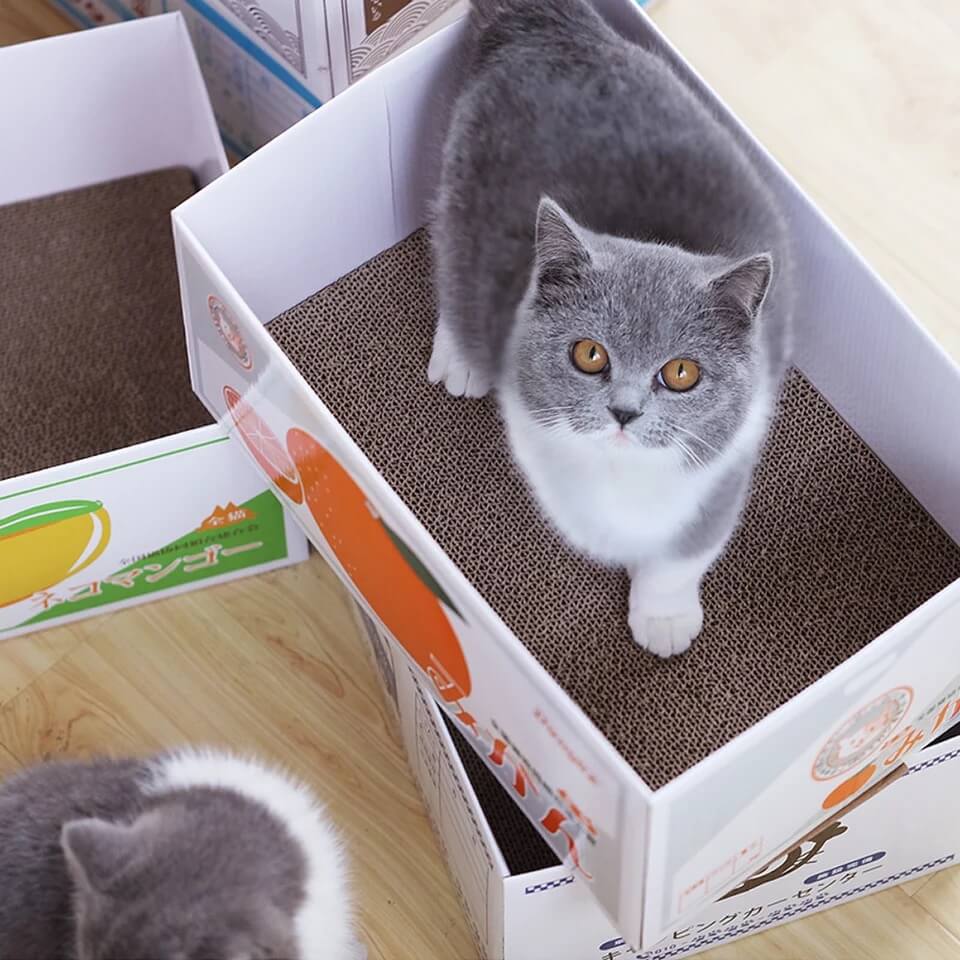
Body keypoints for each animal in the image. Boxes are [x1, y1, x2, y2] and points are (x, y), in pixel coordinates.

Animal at [432, 0, 792, 656]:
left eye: (682, 372)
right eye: (590, 355)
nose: (624, 412)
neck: (624, 470)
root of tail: (551, 26)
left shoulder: (727, 463)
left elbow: (685, 548)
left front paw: (664, 616)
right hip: (466, 189)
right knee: (451, 255)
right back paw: (462, 360)